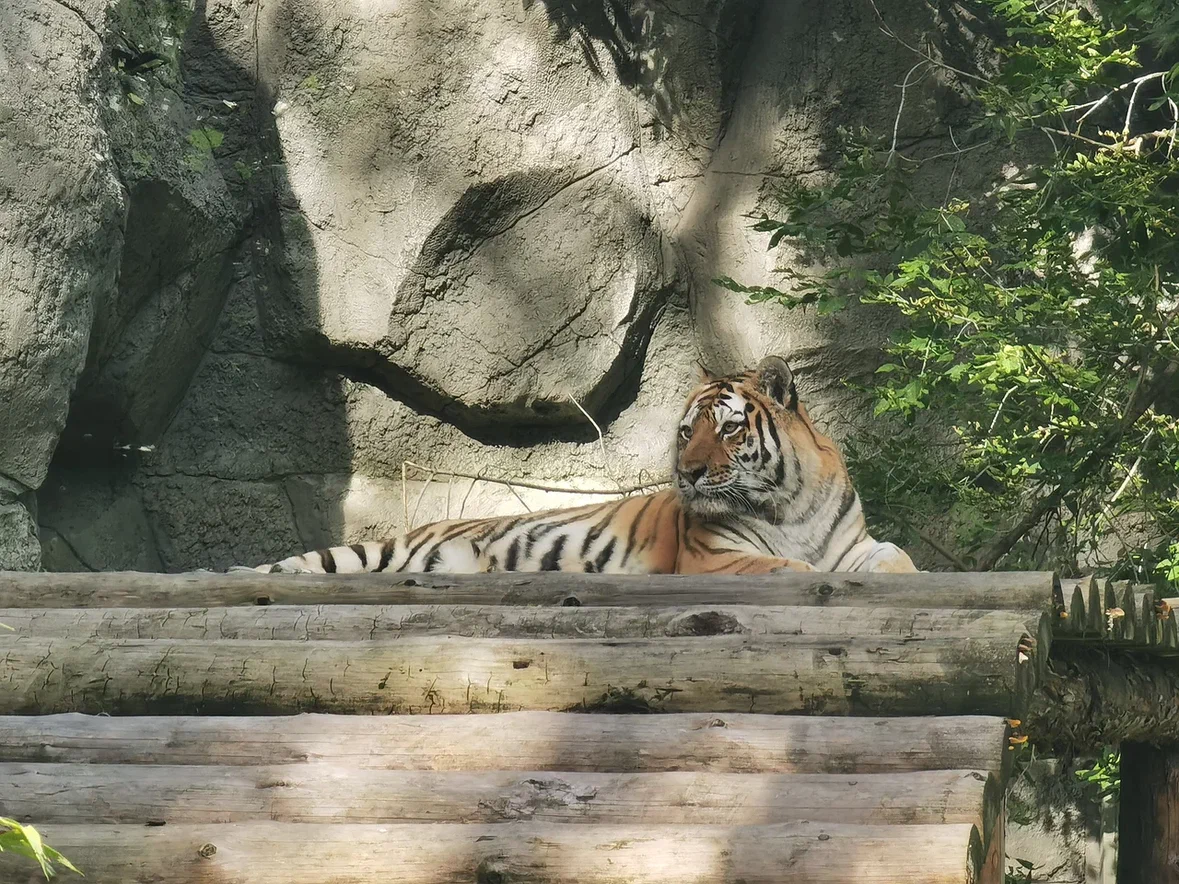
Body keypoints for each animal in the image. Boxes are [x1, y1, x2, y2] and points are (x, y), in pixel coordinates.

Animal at [236, 355, 917, 576]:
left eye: (727, 428)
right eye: (686, 432)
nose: (689, 474)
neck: (788, 503)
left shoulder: (855, 545)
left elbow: (899, 559)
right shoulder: (717, 558)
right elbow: (783, 568)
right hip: (376, 551)